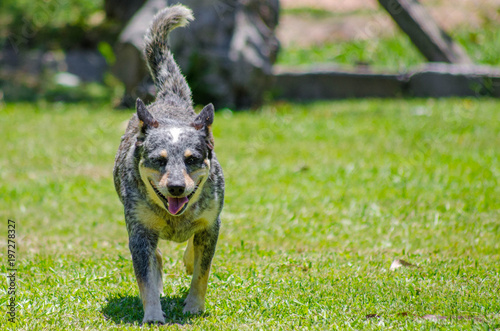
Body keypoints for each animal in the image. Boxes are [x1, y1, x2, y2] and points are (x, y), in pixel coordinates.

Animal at [113, 4, 225, 326]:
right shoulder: (139, 231)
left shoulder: (212, 223)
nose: (175, 187)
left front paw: (194, 307)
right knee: (155, 258)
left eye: (192, 159)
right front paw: (153, 314)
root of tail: (171, 98)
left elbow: (202, 271)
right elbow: (146, 278)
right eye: (159, 160)